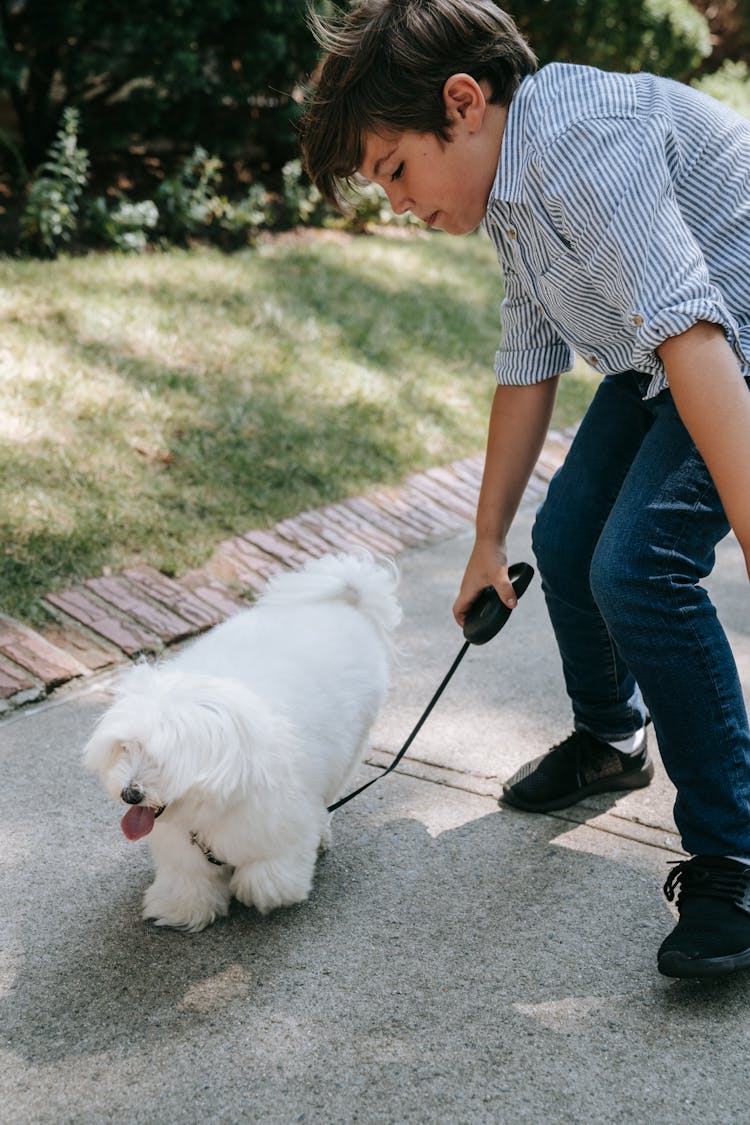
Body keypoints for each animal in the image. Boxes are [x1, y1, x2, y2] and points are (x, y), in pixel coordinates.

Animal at [82, 553, 402, 931]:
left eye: (165, 758)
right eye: (126, 747)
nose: (130, 794)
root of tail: (346, 600)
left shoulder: (276, 824)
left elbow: (267, 872)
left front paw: (264, 890)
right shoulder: (183, 847)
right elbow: (189, 878)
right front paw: (181, 907)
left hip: (349, 752)